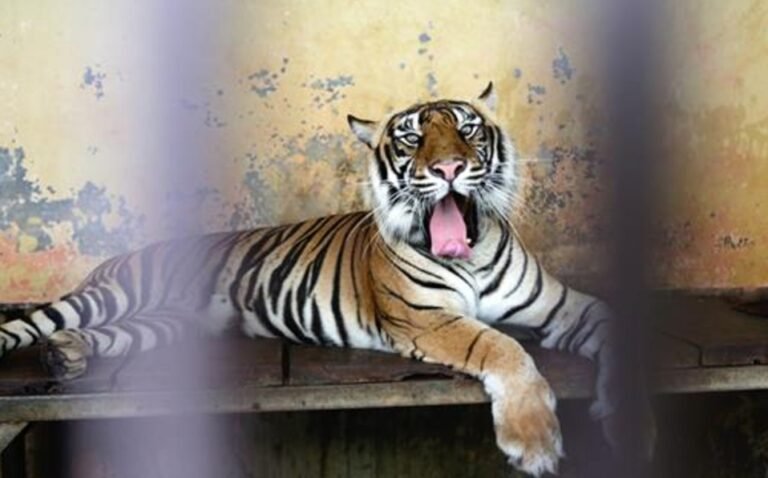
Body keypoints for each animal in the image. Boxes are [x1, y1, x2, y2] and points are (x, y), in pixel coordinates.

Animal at [0, 83, 625, 476]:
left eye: (468, 129)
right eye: (411, 138)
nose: (448, 168)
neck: (468, 255)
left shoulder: (558, 304)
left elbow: (614, 326)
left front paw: (622, 419)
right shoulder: (430, 319)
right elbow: (502, 348)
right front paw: (534, 443)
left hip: (165, 325)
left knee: (109, 336)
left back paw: (66, 357)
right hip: (119, 293)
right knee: (40, 322)